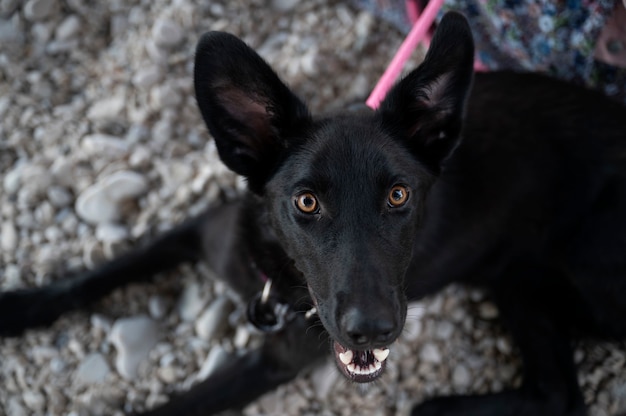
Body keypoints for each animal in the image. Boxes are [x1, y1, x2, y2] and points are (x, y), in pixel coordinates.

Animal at [1, 11, 624, 414]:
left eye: (399, 195)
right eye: (306, 201)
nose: (372, 329)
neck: (274, 274)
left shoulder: (276, 360)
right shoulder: (198, 232)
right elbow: (99, 274)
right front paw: (20, 305)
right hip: (519, 281)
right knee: (558, 394)